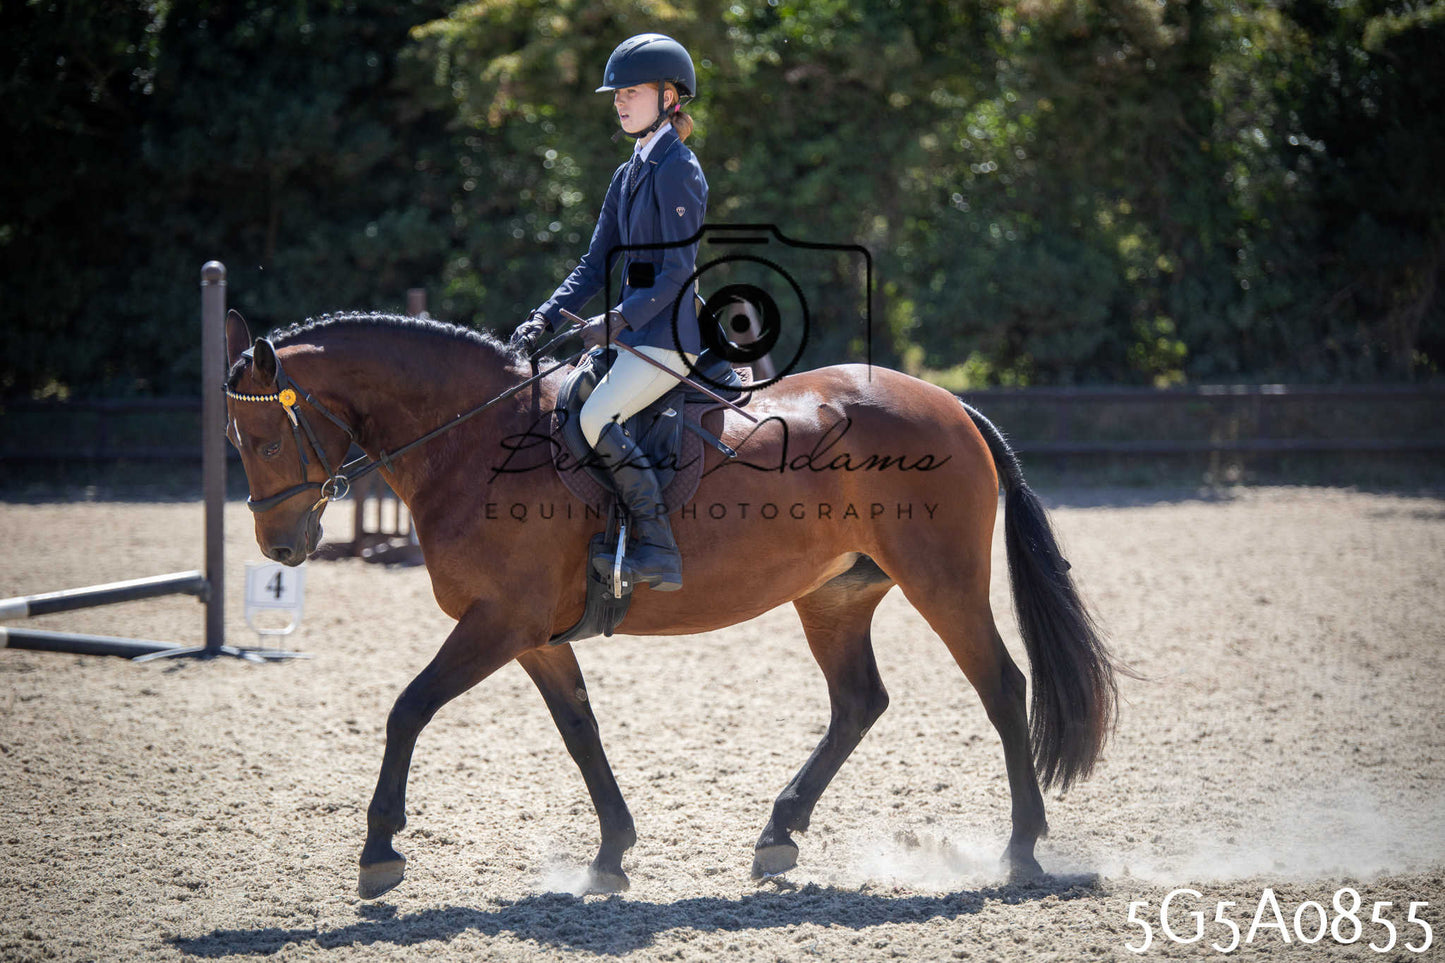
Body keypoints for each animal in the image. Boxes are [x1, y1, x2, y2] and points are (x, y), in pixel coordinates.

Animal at [221, 309, 1121, 900]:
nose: (280, 550)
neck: (474, 441)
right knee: (859, 701)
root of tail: (948, 403)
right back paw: (778, 834)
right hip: (833, 594)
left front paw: (378, 848)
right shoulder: (533, 633)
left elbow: (407, 708)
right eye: (238, 442)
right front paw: (610, 854)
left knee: (1001, 686)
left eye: (263, 440)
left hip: (943, 580)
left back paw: (1020, 850)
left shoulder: (498, 620)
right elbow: (579, 729)